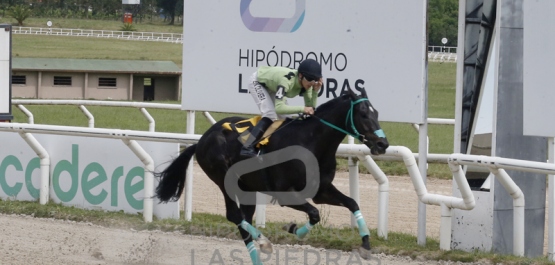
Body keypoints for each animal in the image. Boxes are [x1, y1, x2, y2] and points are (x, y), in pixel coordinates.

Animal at [156, 86, 388, 262]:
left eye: (377, 113)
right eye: (364, 114)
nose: (382, 144)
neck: (311, 142)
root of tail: (201, 140)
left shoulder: (321, 190)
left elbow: (352, 203)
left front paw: (366, 244)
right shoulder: (286, 193)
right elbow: (315, 213)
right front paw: (294, 229)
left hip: (246, 188)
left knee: (243, 218)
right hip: (223, 179)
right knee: (234, 215)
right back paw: (264, 242)